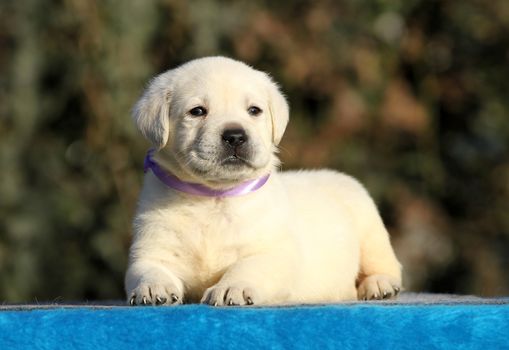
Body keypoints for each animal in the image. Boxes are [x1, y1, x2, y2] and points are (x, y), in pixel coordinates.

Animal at [124, 56, 400, 304]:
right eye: (197, 111)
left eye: (254, 110)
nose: (235, 136)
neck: (214, 197)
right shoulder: (152, 249)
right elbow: (148, 270)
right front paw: (152, 287)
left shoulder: (273, 251)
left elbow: (248, 266)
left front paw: (232, 288)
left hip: (370, 229)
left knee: (388, 266)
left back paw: (379, 285)